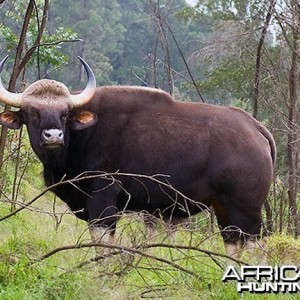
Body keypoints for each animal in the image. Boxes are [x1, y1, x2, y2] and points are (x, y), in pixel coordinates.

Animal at [0, 57, 276, 258]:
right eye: (32, 112)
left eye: (65, 113)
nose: (53, 135)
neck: (80, 139)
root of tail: (255, 128)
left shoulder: (103, 203)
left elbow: (104, 246)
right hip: (224, 209)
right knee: (232, 245)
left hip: (246, 210)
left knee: (257, 249)